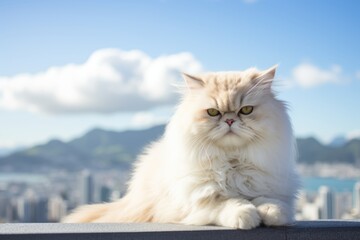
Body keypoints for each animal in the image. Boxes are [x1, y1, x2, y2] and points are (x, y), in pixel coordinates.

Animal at [63, 65, 300, 229]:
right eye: (213, 112)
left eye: (246, 110)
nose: (230, 120)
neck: (231, 161)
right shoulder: (196, 201)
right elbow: (228, 203)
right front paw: (247, 216)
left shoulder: (271, 188)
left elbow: (268, 201)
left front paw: (271, 213)